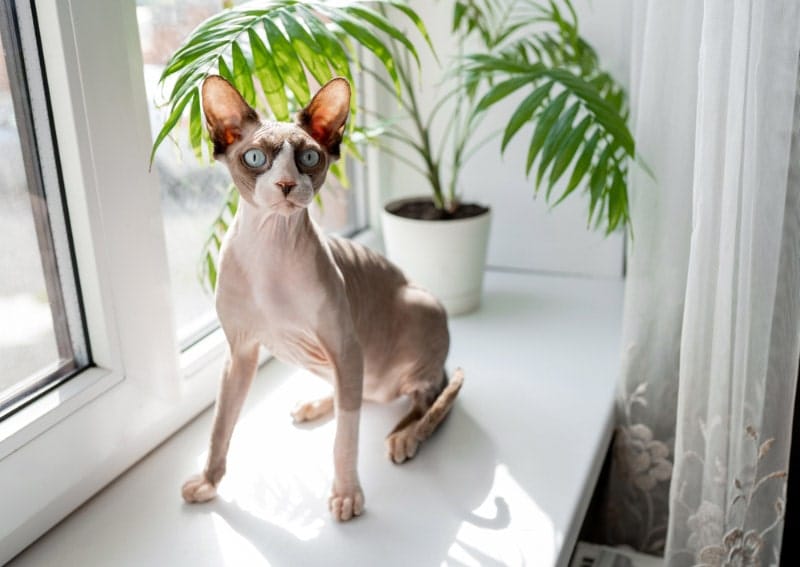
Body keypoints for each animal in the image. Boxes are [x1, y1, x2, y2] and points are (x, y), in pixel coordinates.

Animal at [180, 76, 462, 524]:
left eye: (309, 156)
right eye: (255, 157)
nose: (285, 184)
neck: (270, 251)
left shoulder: (344, 345)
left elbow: (345, 436)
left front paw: (347, 494)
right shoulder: (239, 352)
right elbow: (220, 424)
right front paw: (208, 481)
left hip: (420, 306)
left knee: (428, 394)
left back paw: (406, 436)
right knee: (360, 392)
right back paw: (318, 403)